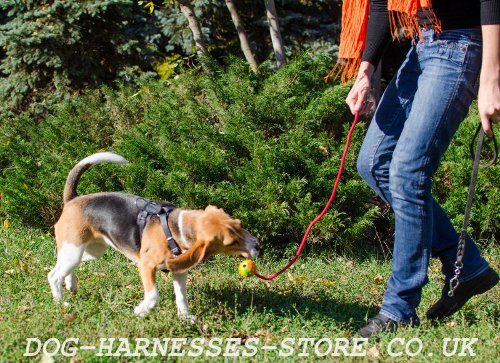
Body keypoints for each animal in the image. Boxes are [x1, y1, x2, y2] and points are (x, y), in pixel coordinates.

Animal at [47, 152, 260, 320]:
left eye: (240, 225)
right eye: (231, 243)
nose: (258, 246)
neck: (176, 228)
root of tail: (73, 200)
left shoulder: (179, 270)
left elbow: (181, 296)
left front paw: (186, 317)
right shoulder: (146, 265)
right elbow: (153, 296)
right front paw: (141, 311)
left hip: (90, 251)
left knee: (68, 268)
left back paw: (71, 285)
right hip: (73, 249)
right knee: (53, 275)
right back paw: (60, 303)